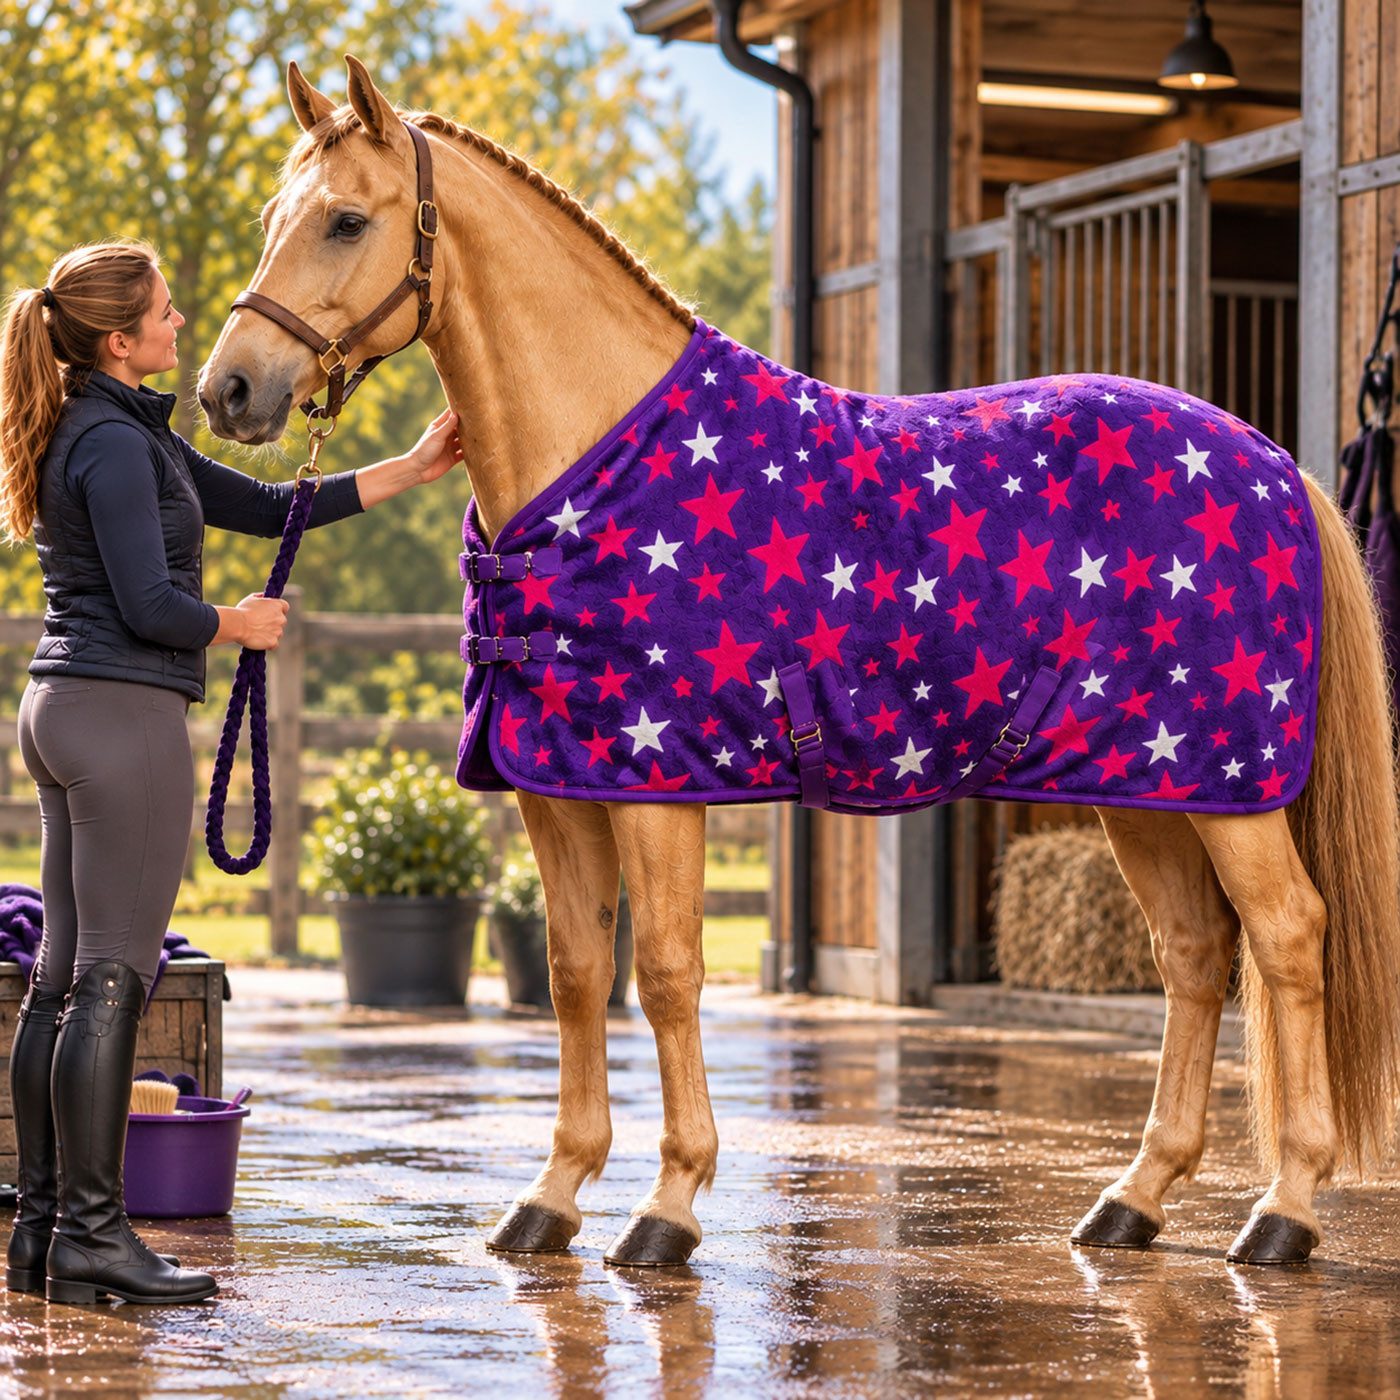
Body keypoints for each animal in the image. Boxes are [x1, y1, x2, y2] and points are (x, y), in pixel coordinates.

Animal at [198, 56, 1400, 1269]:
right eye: (269, 219)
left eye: (347, 220)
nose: (229, 391)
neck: (602, 463)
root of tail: (1273, 466)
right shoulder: (557, 785)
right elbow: (577, 971)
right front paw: (551, 1194)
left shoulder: (659, 783)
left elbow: (664, 971)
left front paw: (668, 1205)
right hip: (1146, 783)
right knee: (1195, 953)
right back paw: (1133, 1198)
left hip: (1228, 786)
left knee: (1287, 937)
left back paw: (1284, 1209)